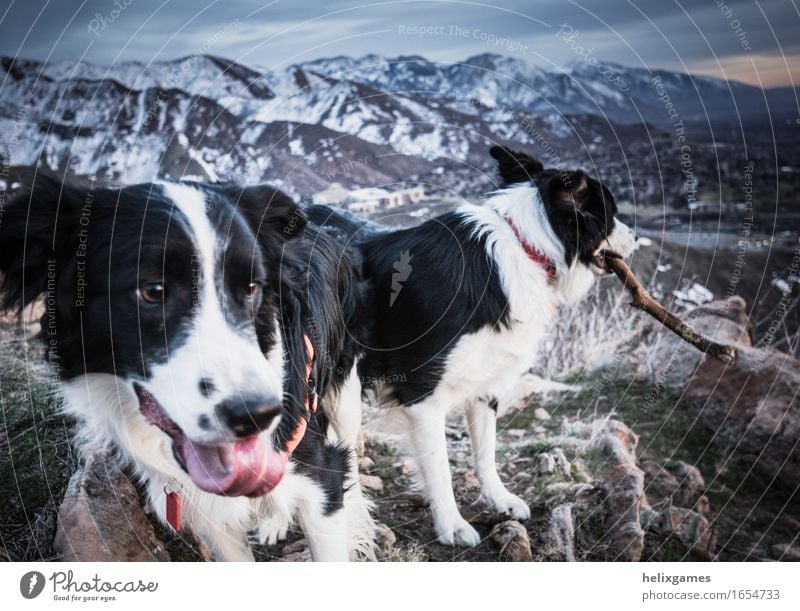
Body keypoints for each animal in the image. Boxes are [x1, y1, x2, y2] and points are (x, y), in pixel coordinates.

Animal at [0, 176, 376, 560]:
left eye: (251, 288)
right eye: (152, 290)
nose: (257, 415)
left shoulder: (321, 482)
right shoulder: (209, 513)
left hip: (344, 391)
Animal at [308, 147, 636, 544]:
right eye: (611, 213)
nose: (636, 237)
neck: (525, 246)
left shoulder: (487, 384)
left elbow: (485, 451)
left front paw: (499, 499)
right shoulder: (422, 394)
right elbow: (440, 468)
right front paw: (452, 524)